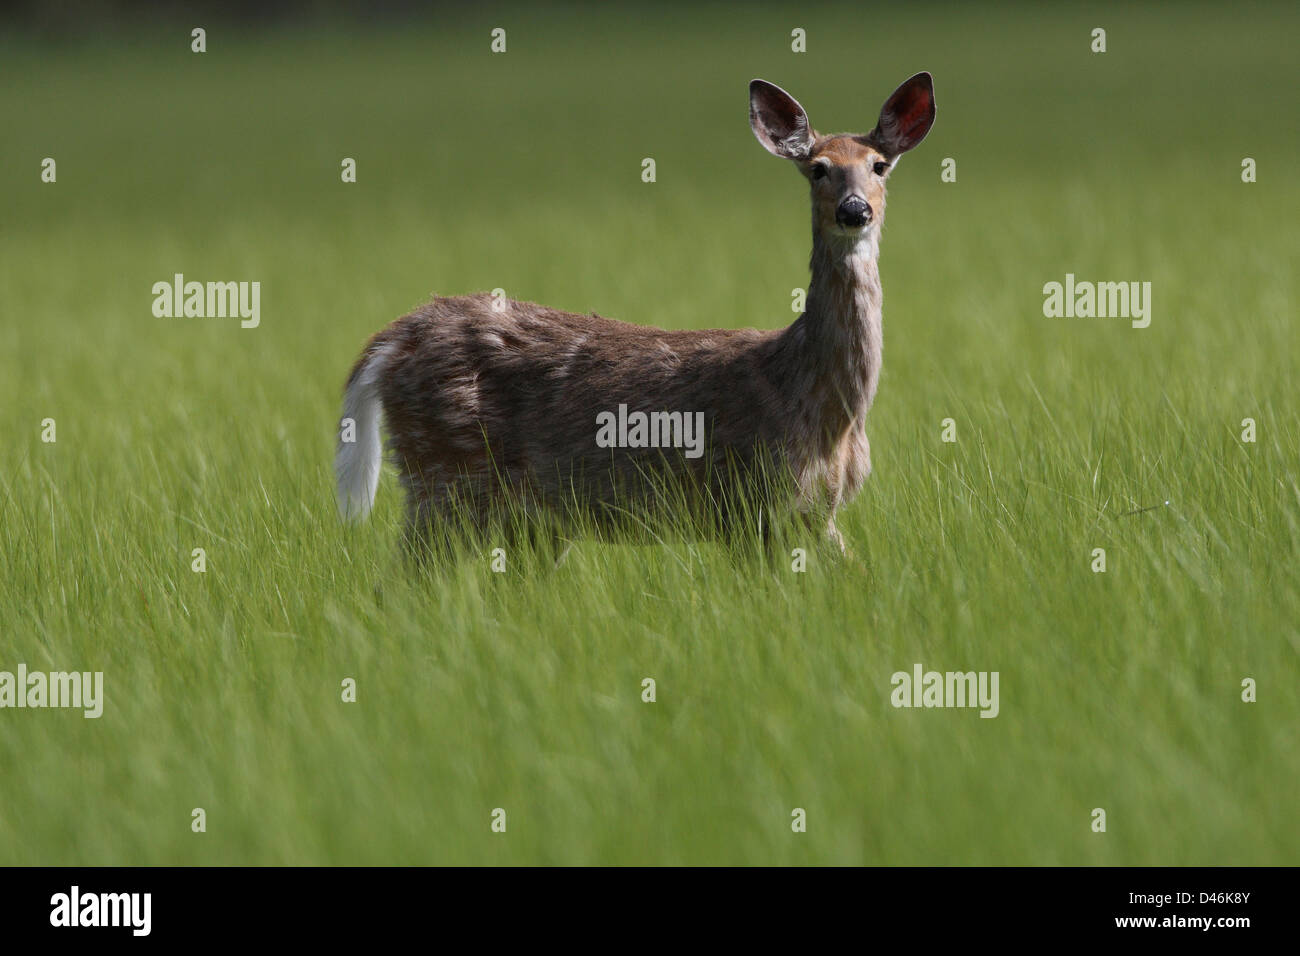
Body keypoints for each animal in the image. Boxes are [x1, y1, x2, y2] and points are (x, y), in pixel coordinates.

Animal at [338, 72, 935, 561]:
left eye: (879, 166)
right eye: (817, 170)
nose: (855, 210)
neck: (819, 401)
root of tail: (396, 336)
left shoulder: (818, 513)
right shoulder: (744, 499)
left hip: (528, 518)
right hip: (446, 475)